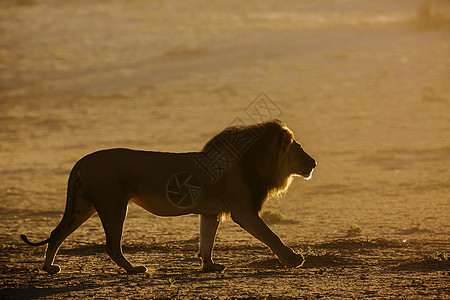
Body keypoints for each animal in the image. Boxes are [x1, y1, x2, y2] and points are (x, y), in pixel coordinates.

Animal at [22, 118, 316, 274]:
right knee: (111, 245)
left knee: (57, 233)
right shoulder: (243, 211)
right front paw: (293, 259)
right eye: (299, 148)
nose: (314, 163)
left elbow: (206, 241)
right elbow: (271, 235)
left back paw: (49, 268)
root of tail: (81, 161)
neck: (255, 160)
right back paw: (134, 269)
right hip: (113, 204)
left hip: (83, 205)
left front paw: (209, 266)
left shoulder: (210, 213)